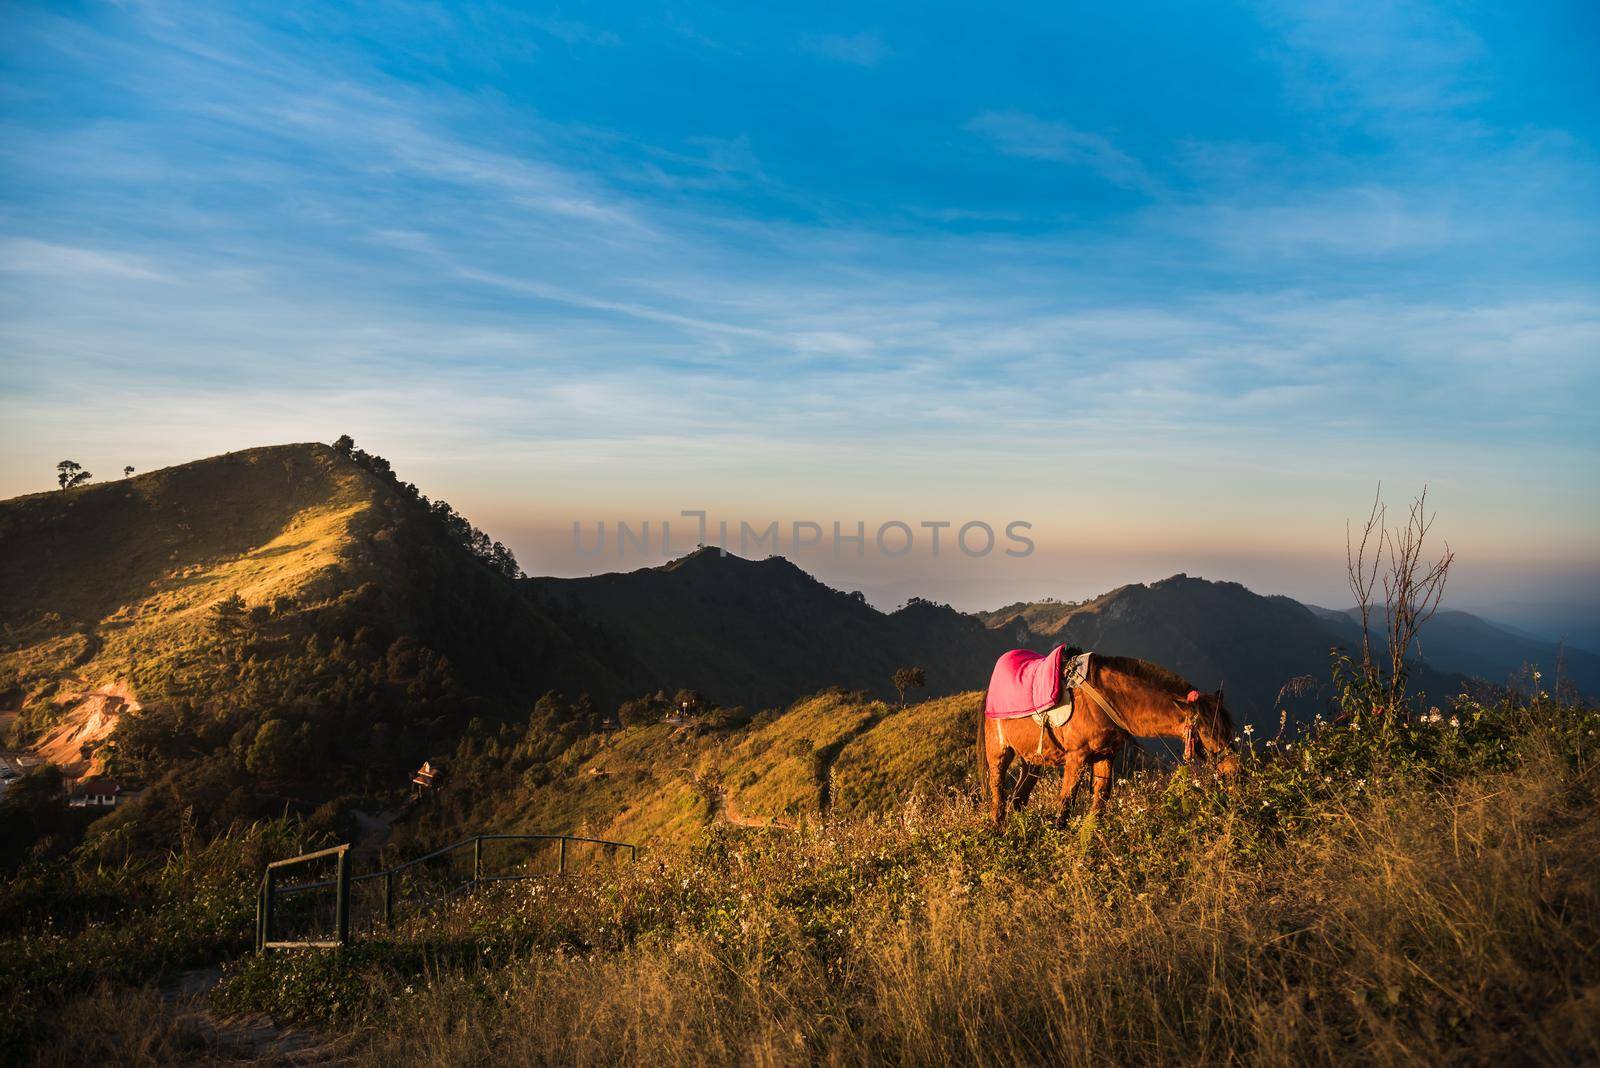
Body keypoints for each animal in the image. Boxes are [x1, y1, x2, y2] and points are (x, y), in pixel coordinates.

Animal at [972, 652, 1235, 824]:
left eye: (1228, 727)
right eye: (1207, 731)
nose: (1232, 770)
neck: (1106, 697)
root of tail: (989, 692)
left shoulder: (1105, 755)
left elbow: (1100, 804)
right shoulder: (1076, 758)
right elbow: (1065, 806)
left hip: (1033, 761)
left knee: (1017, 798)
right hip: (999, 754)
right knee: (998, 798)